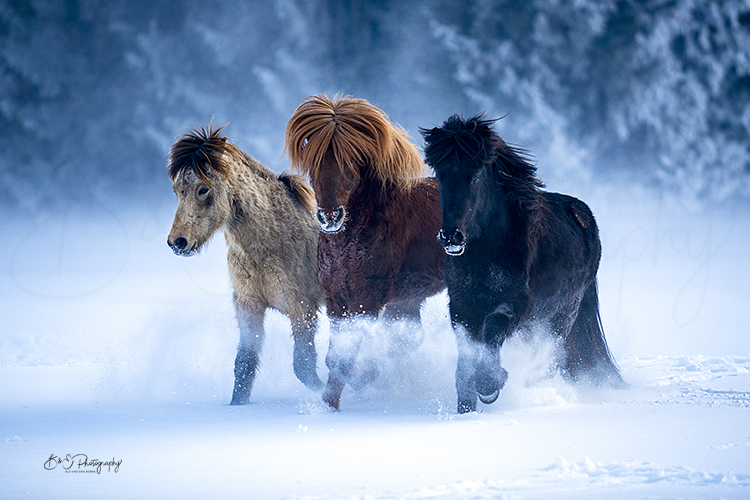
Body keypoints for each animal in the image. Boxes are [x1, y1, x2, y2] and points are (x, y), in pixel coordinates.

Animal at [169, 123, 324, 404]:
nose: (178, 242)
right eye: (176, 190)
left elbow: (304, 366)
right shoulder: (248, 305)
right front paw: (237, 405)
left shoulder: (302, 309)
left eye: (203, 189)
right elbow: (244, 364)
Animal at [284, 95, 444, 412]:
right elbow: (336, 357)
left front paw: (331, 405)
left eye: (351, 162)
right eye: (314, 161)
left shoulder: (366, 299)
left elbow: (344, 358)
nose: (330, 216)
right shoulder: (337, 298)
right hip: (407, 300)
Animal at [424, 114, 624, 414]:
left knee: (550, 358)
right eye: (440, 176)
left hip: (560, 316)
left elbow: (493, 330)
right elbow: (466, 358)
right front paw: (466, 408)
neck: (486, 252)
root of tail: (586, 217)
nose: (451, 237)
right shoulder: (461, 305)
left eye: (475, 176)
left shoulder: (516, 303)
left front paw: (490, 384)